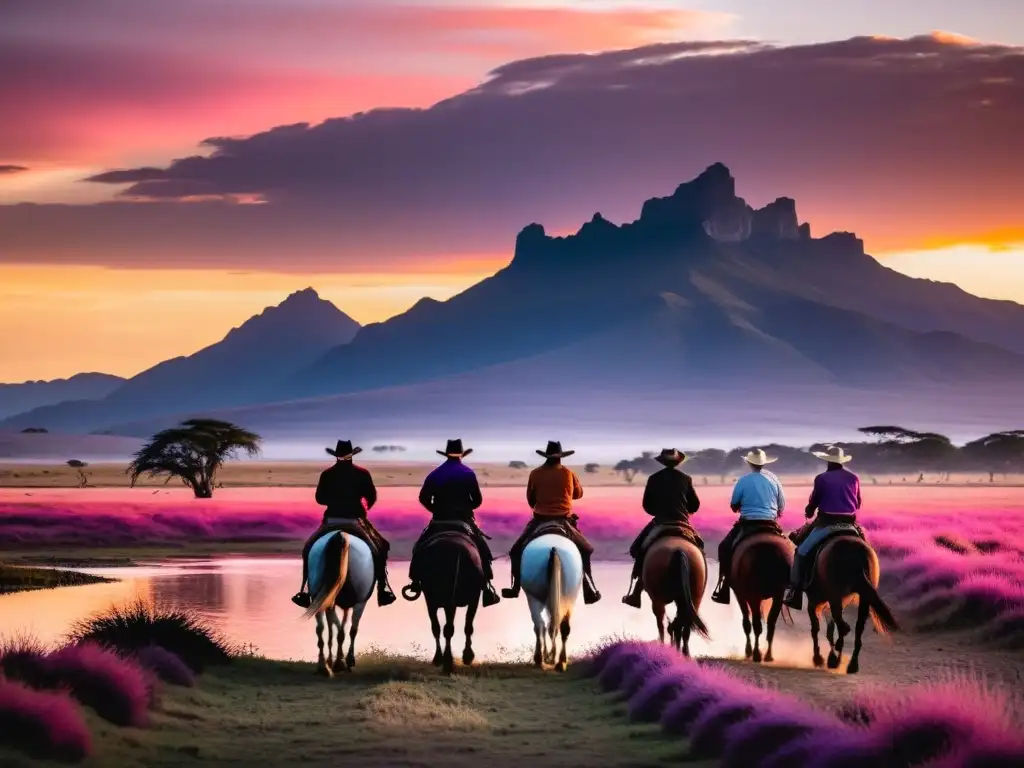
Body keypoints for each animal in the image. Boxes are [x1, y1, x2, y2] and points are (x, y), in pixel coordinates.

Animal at [299, 532, 376, 675]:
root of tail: (340, 534)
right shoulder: (356, 603)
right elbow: (346, 629)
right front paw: (343, 660)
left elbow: (333, 629)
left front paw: (334, 660)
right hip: (358, 602)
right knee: (348, 629)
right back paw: (342, 661)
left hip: (318, 596)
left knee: (321, 628)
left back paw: (324, 666)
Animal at [403, 532, 483, 675]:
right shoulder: (473, 599)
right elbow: (466, 627)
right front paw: (467, 656)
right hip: (447, 600)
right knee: (448, 628)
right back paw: (447, 662)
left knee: (443, 628)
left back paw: (445, 660)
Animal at [524, 532, 581, 671]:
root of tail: (554, 549)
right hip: (569, 598)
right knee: (559, 627)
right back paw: (559, 661)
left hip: (533, 596)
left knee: (540, 624)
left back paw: (543, 658)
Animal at [733, 532, 794, 663]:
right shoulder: (777, 594)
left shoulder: (741, 594)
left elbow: (747, 623)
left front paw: (749, 651)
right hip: (777, 595)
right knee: (770, 623)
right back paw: (768, 655)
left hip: (754, 596)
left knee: (757, 624)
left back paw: (756, 653)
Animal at [802, 536, 901, 671]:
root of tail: (857, 553)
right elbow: (829, 629)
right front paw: (830, 658)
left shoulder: (814, 601)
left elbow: (817, 629)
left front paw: (819, 659)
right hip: (863, 597)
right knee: (857, 627)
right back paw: (851, 664)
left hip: (835, 596)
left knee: (841, 624)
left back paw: (837, 655)